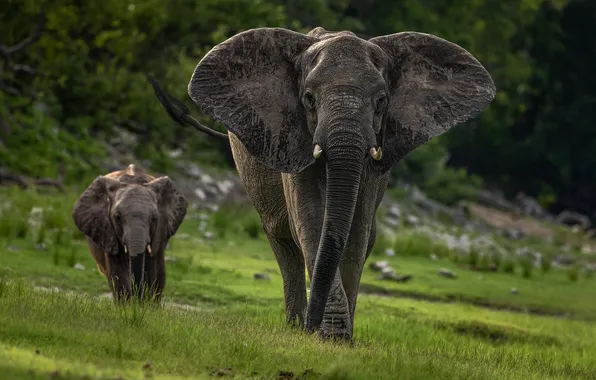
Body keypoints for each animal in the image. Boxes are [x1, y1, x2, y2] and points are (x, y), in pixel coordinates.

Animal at [73, 163, 189, 302]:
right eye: (117, 217)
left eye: (154, 219)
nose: (137, 299)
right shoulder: (108, 232)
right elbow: (118, 274)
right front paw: (128, 306)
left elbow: (152, 271)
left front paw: (145, 306)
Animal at [149, 26, 494, 342]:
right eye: (309, 99)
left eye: (382, 102)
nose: (311, 326)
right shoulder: (293, 135)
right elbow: (312, 218)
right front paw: (330, 335)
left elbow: (355, 230)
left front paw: (341, 338)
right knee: (282, 238)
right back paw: (293, 324)